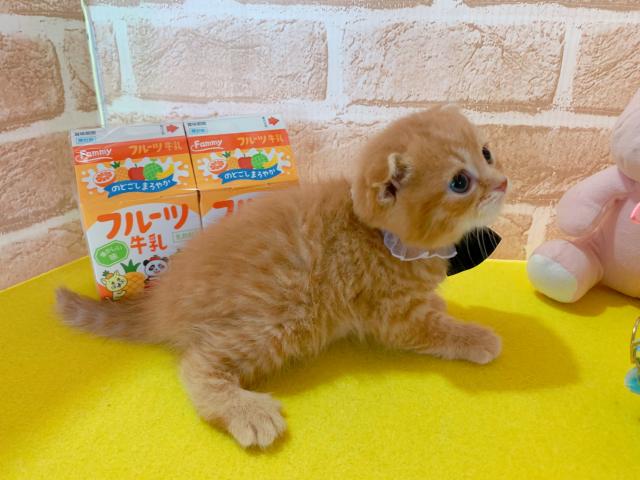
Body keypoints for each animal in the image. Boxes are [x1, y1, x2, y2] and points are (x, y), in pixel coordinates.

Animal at [57, 105, 508, 449]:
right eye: (460, 182)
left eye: (487, 153)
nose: (503, 182)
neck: (381, 236)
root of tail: (162, 300)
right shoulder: (392, 313)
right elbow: (432, 329)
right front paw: (474, 337)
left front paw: (442, 304)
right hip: (280, 318)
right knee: (196, 363)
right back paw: (245, 410)